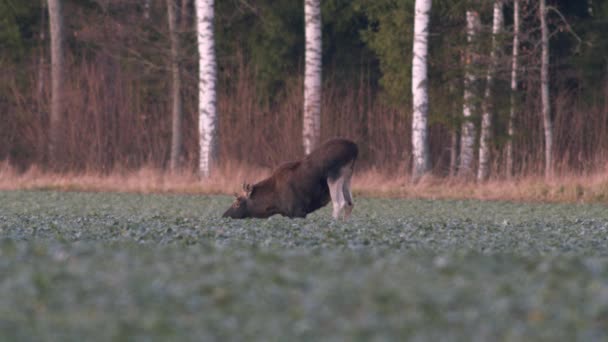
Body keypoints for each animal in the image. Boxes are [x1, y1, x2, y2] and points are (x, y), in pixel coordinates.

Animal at [222, 138, 356, 220]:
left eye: (237, 203)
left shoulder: (297, 211)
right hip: (347, 177)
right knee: (350, 203)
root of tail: (355, 148)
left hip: (334, 175)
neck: (274, 204)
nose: (224, 215)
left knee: (339, 203)